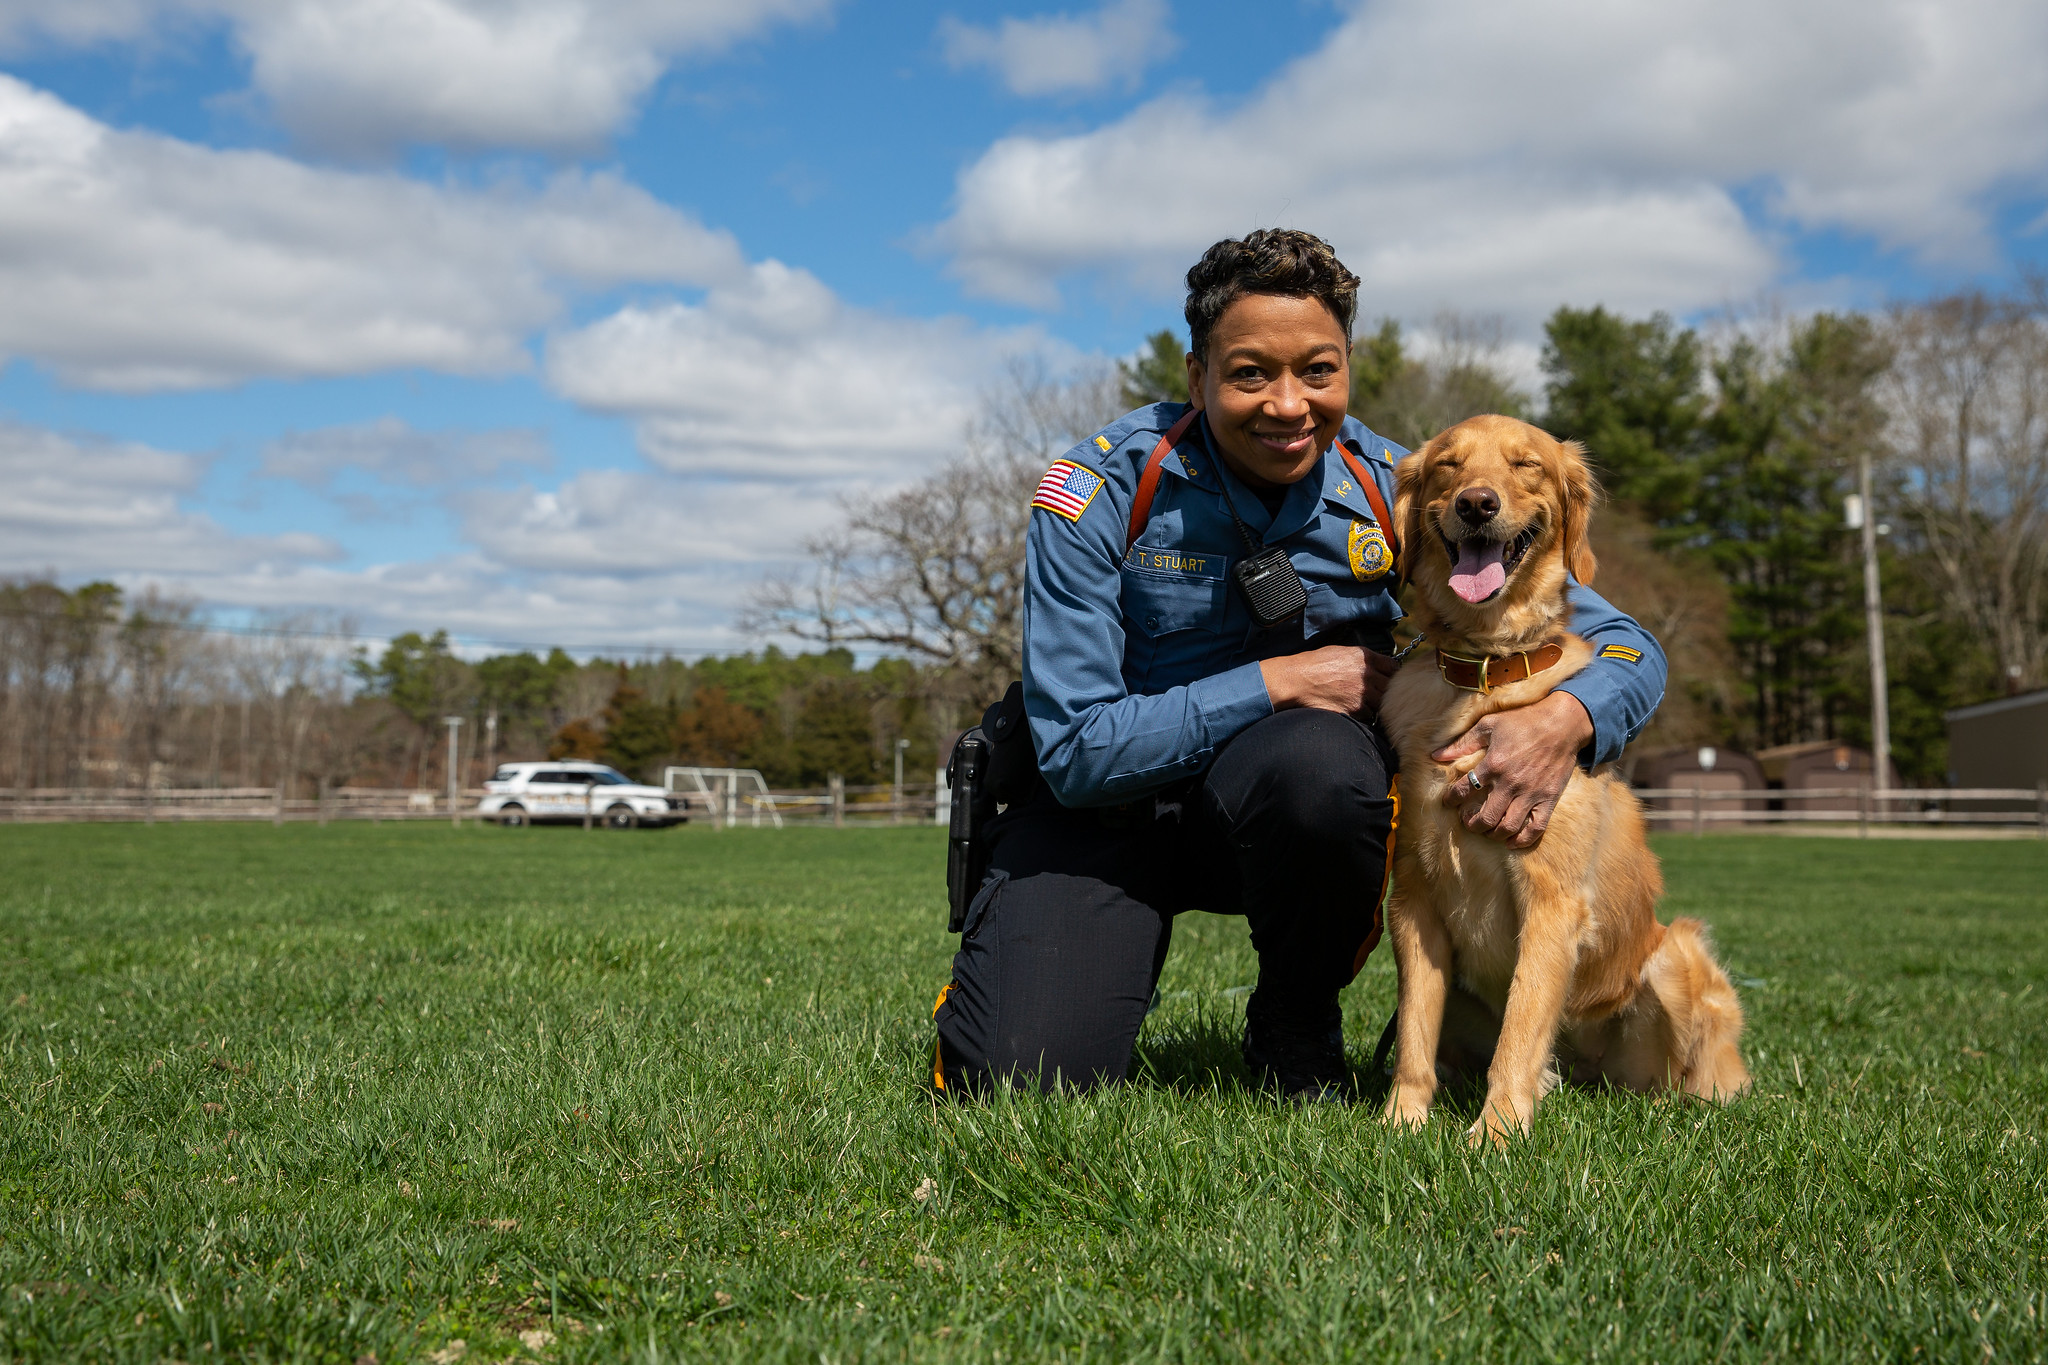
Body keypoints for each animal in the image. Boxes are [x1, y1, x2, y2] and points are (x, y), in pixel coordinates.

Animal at [1376, 413, 1744, 1146]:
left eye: (1526, 465)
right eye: (1448, 466)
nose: (1476, 504)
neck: (1485, 672)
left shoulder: (1550, 901)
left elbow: (1520, 1030)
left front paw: (1494, 1136)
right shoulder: (1415, 900)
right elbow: (1413, 1035)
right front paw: (1401, 1123)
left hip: (1676, 955)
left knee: (1680, 1082)